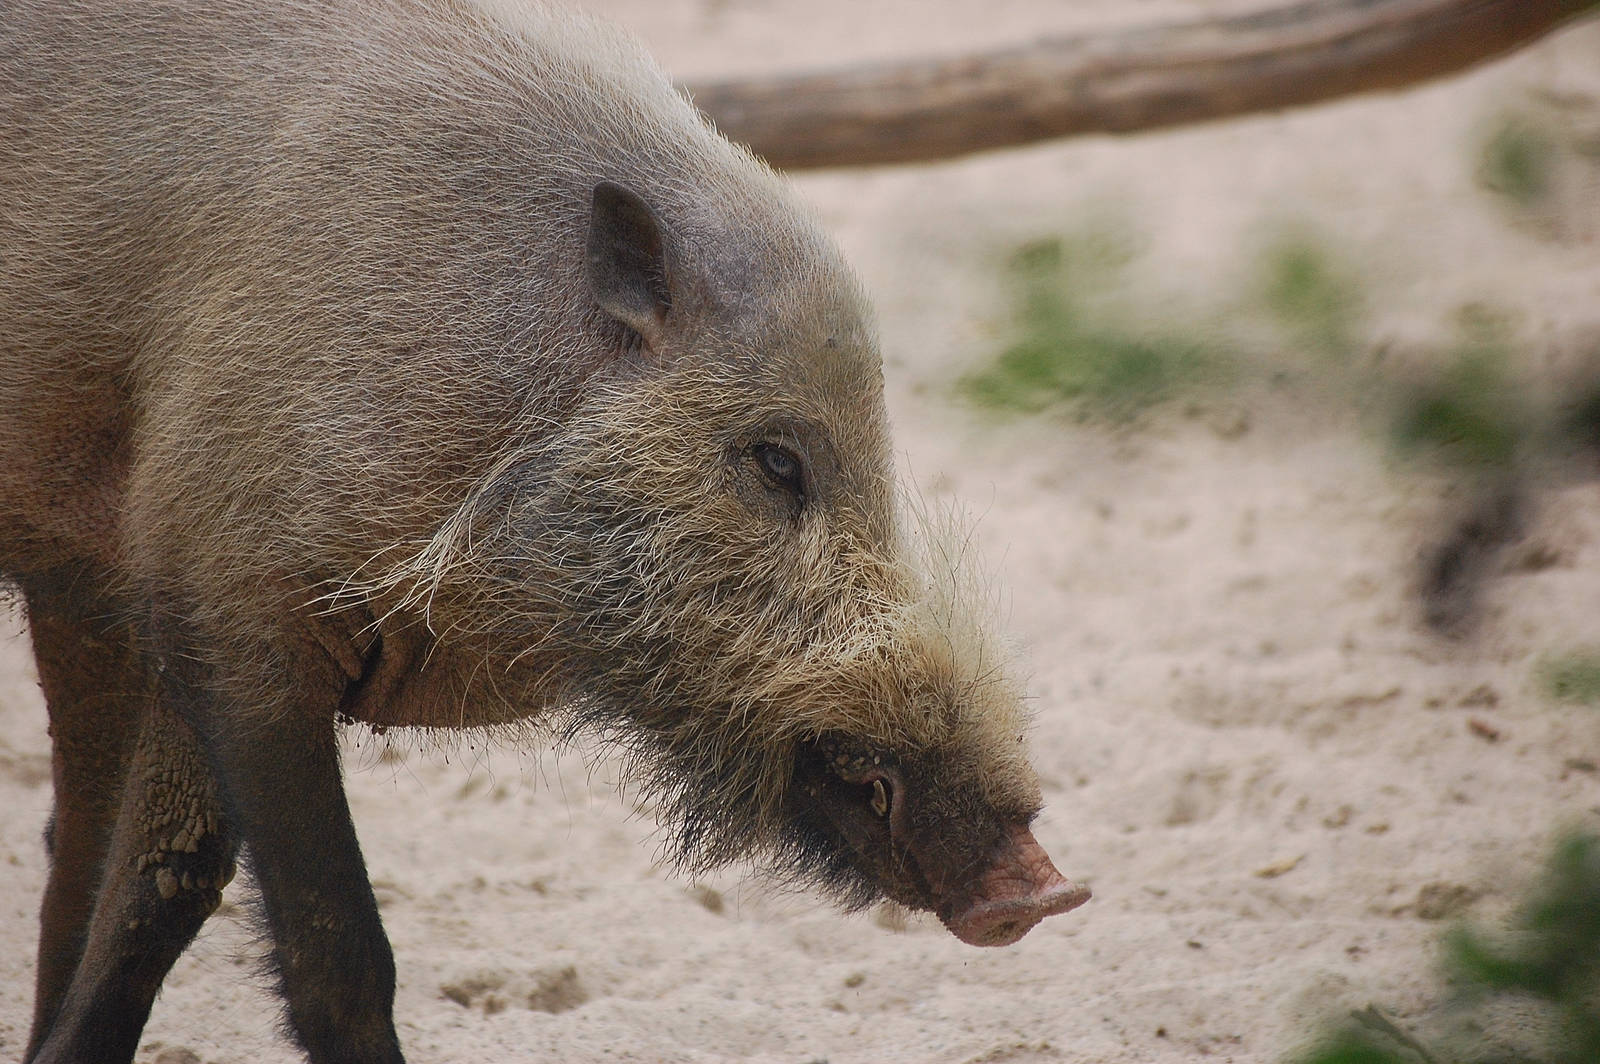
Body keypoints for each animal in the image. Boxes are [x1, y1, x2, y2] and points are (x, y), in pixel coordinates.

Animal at [0, 0, 1090, 1060]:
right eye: (778, 462)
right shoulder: (232, 605)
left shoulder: (168, 604)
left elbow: (160, 882)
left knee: (74, 845)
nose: (1043, 890)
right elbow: (329, 946)